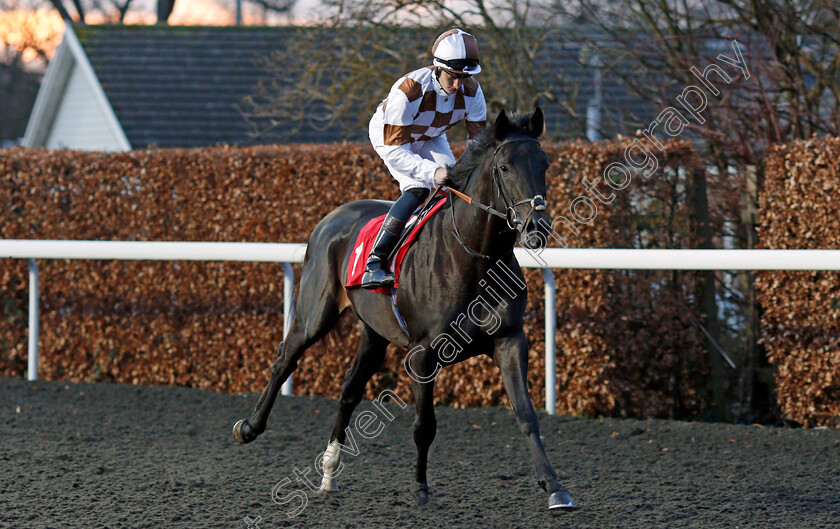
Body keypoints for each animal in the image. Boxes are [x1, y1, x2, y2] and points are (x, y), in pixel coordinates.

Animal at [235, 108, 576, 512]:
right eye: (505, 167)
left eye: (544, 163)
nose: (537, 225)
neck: (476, 259)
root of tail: (331, 218)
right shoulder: (423, 353)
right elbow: (424, 425)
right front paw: (420, 488)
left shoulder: (510, 341)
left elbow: (526, 414)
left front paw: (555, 487)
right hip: (313, 315)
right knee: (285, 360)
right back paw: (250, 428)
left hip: (374, 333)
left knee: (349, 389)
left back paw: (329, 474)